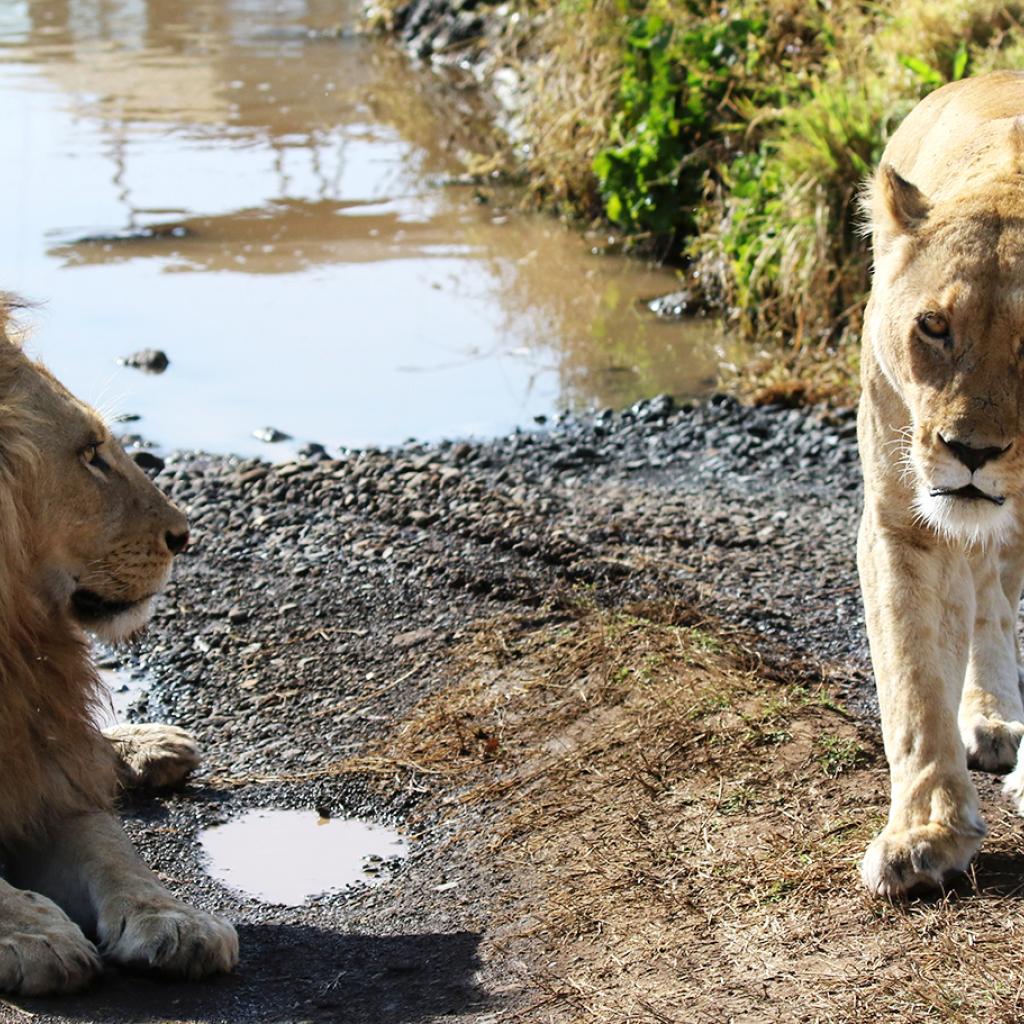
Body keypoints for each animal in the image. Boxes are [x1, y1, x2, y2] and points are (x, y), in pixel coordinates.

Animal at [0, 305, 235, 991]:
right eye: (90, 455)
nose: (184, 535)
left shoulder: (42, 779)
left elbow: (113, 849)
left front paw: (177, 921)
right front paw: (34, 937)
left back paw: (147, 748)